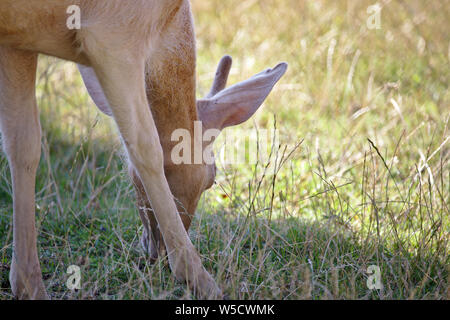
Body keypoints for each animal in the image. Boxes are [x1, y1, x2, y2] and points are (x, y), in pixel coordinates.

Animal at [0, 0, 286, 300]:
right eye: (212, 178)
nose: (154, 252)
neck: (170, 18)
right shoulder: (113, 37)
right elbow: (147, 147)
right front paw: (200, 279)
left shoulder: (16, 43)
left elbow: (23, 143)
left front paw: (28, 286)